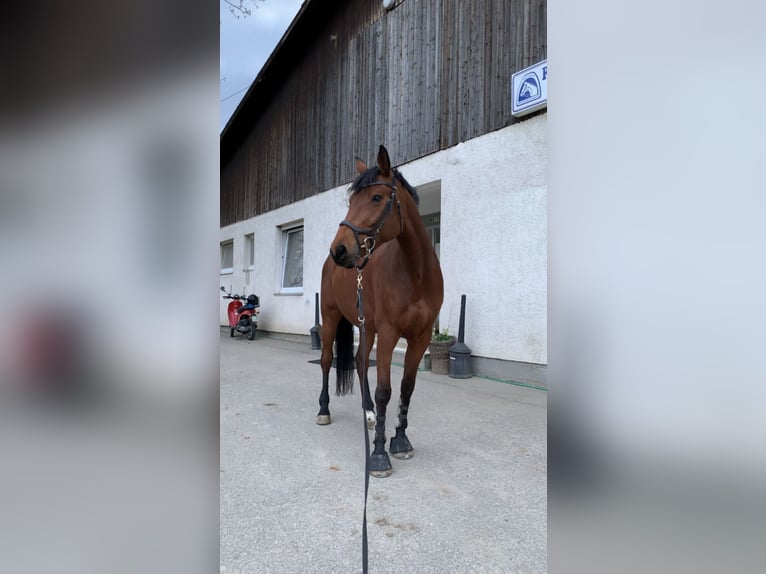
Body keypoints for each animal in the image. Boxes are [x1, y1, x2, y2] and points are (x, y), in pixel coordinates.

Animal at [316, 145, 444, 478]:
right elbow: (385, 390)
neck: (415, 273)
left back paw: (369, 414)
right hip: (331, 318)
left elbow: (407, 388)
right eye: (351, 201)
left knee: (361, 363)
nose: (340, 250)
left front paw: (400, 441)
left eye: (376, 197)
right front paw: (378, 455)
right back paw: (323, 410)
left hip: (367, 326)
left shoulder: (421, 337)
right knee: (326, 361)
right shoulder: (389, 334)